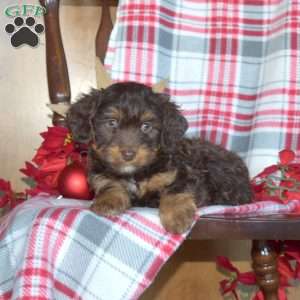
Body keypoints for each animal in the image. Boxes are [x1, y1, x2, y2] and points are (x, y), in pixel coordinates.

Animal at [67, 82, 252, 234]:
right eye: (112, 123)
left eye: (146, 126)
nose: (128, 154)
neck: (135, 173)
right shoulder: (99, 172)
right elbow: (109, 183)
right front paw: (108, 200)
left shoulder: (183, 173)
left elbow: (174, 189)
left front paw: (177, 216)